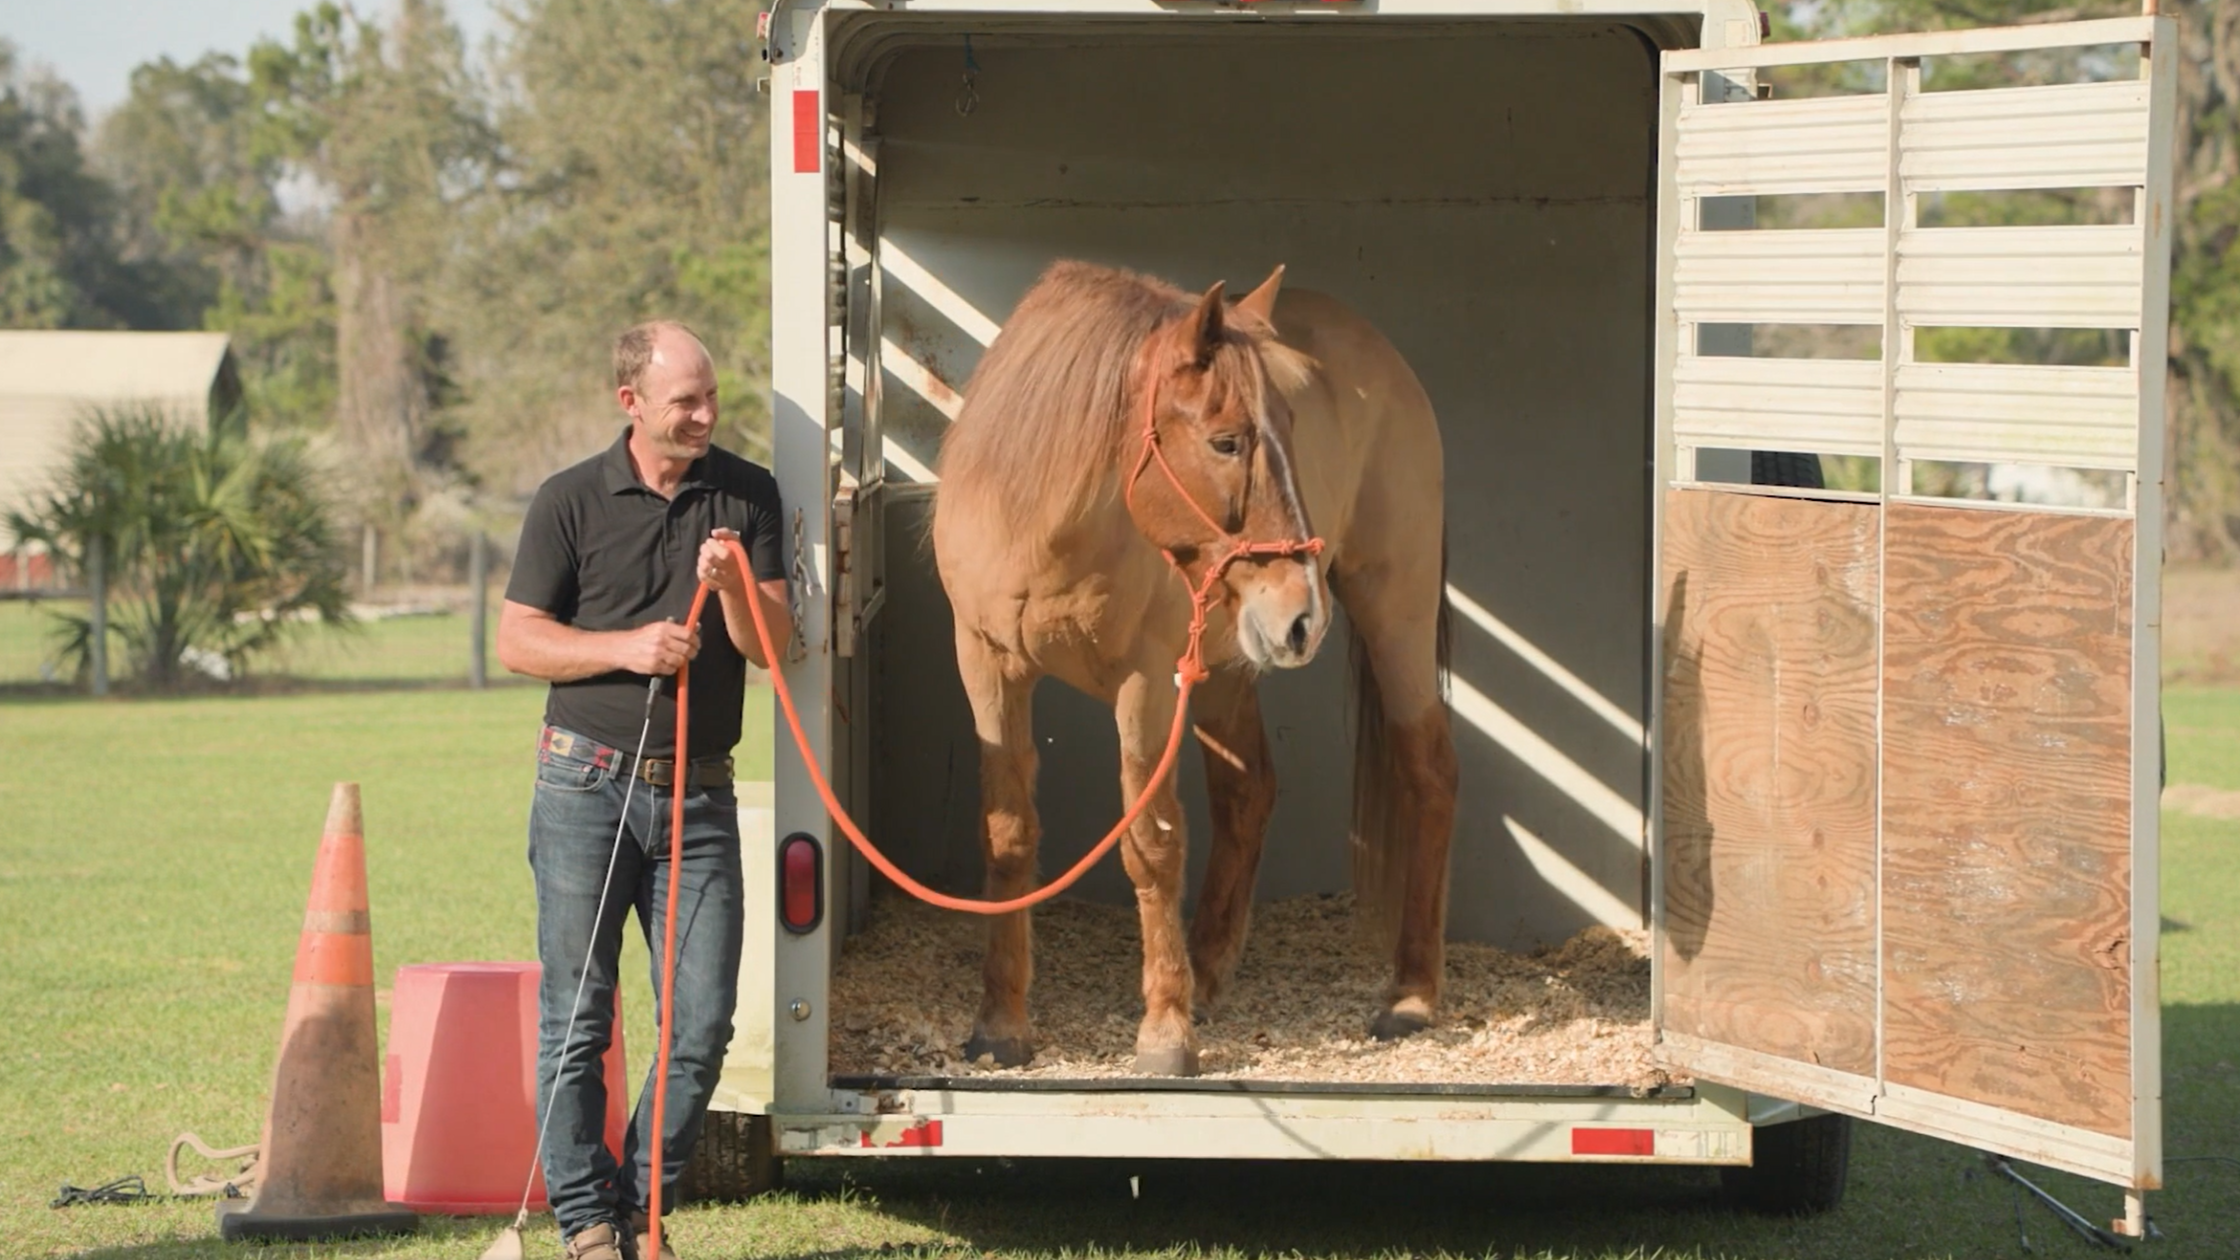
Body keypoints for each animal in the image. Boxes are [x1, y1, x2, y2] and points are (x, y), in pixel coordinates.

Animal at [930, 259, 1458, 1076]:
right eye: (1227, 442)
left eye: (1293, 430)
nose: (1303, 615)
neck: (1046, 522)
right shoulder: (988, 668)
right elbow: (1008, 836)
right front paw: (1001, 1024)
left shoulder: (1146, 684)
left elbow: (1153, 843)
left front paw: (1165, 1034)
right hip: (1228, 665)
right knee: (1250, 793)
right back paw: (1209, 973)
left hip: (1391, 613)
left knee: (1429, 776)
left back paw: (1411, 994)